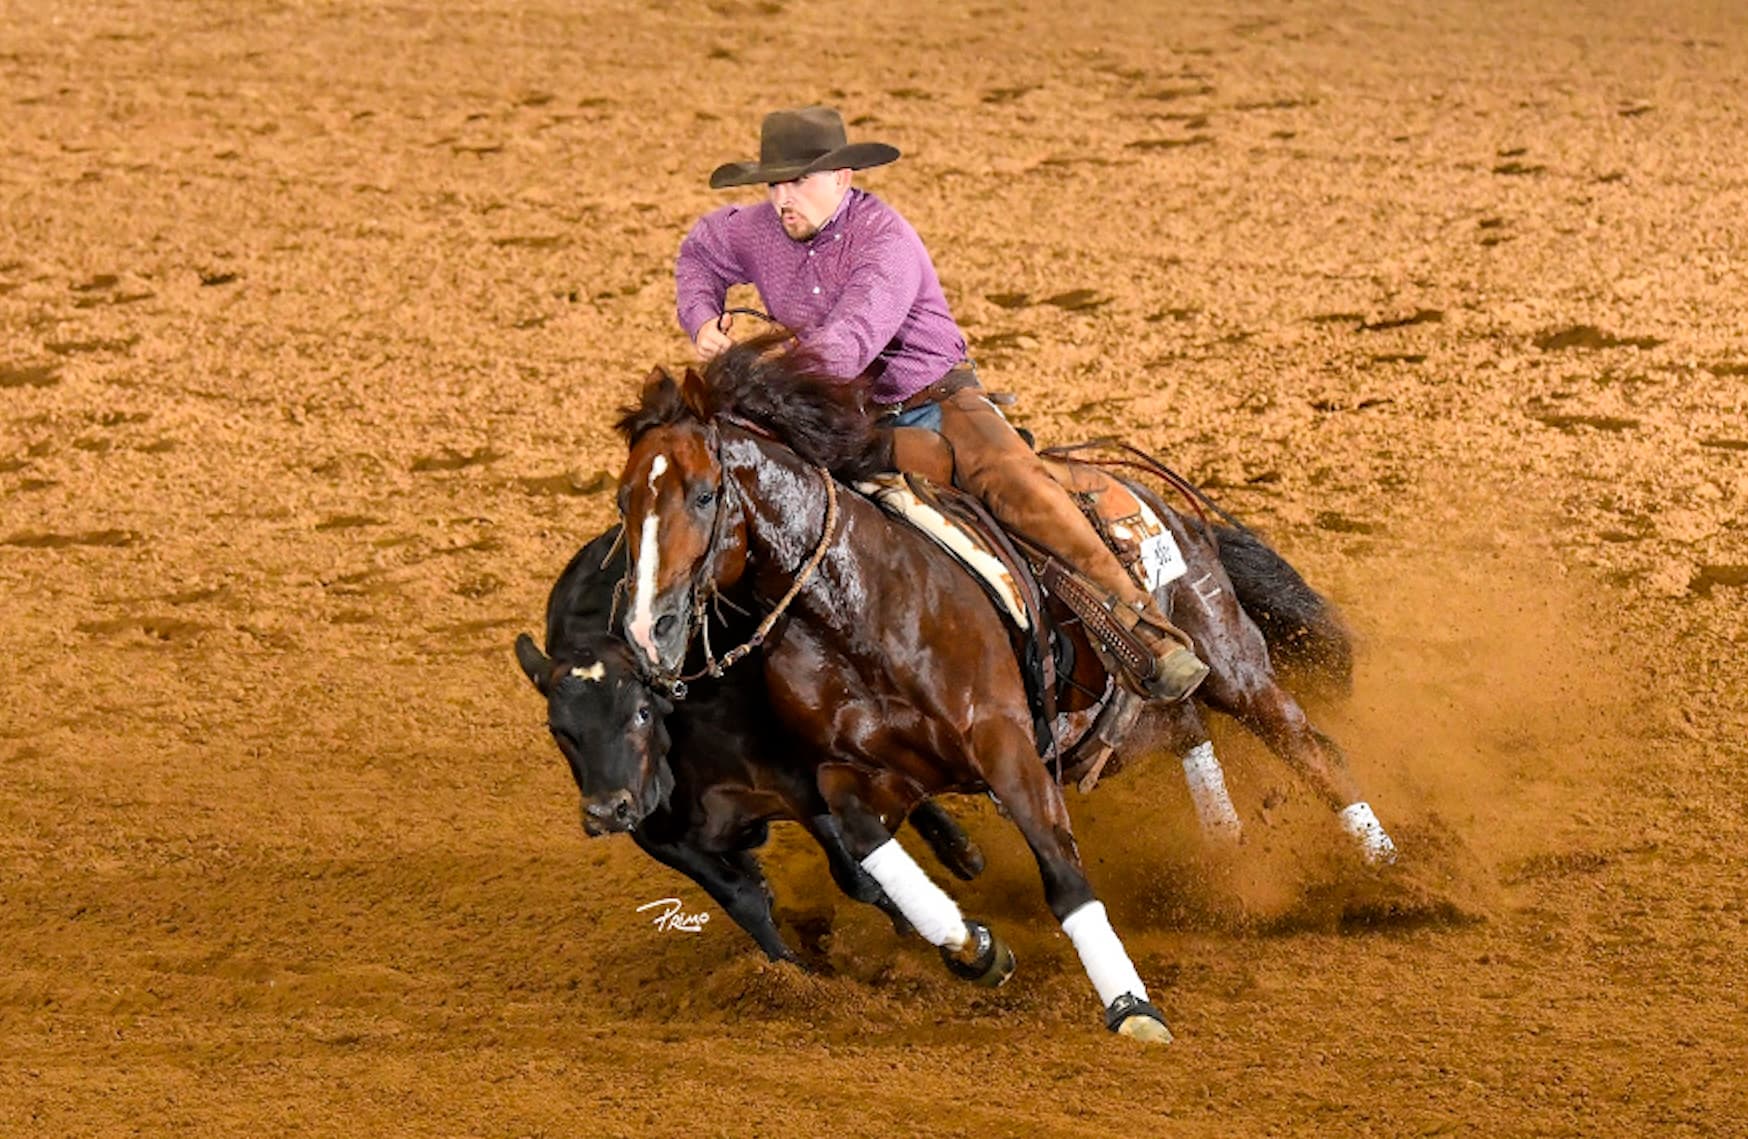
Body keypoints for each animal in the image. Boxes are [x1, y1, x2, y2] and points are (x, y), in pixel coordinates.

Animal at [512, 525, 986, 965]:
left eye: (641, 712)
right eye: (558, 729)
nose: (608, 811)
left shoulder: (802, 785)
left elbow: (856, 875)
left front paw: (920, 933)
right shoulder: (661, 837)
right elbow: (745, 900)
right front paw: (791, 973)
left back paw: (958, 849)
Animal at [612, 342, 1397, 1042]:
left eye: (704, 494)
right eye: (624, 501)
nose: (649, 630)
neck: (857, 607)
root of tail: (1154, 499)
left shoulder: (1005, 744)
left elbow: (1062, 873)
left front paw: (1132, 1006)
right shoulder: (861, 772)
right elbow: (865, 841)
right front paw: (973, 946)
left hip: (1232, 661)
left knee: (1311, 749)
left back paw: (1393, 873)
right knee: (1189, 732)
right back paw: (1228, 859)